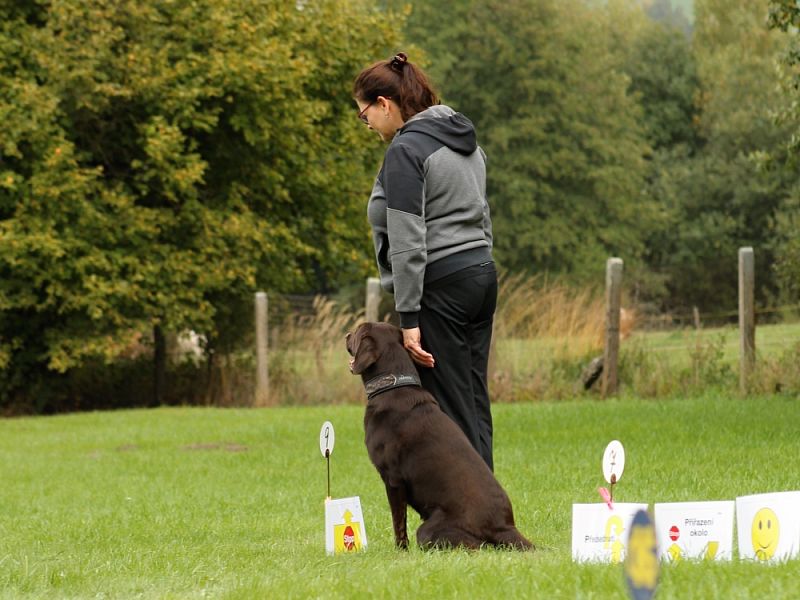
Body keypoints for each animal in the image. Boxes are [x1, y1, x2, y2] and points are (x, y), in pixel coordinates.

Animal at [346, 322, 536, 552]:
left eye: (358, 330)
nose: (347, 334)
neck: (393, 385)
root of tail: (504, 526)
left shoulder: (393, 479)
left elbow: (398, 521)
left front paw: (400, 551)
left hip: (428, 530)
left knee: (477, 545)